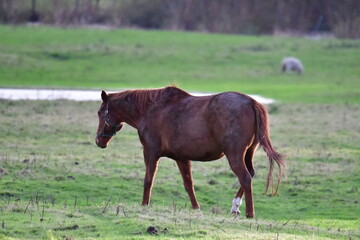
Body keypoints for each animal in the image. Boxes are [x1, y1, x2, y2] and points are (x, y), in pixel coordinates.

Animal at [95, 86, 284, 219]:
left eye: (99, 112)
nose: (98, 141)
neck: (150, 110)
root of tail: (251, 102)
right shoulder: (181, 158)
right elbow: (188, 184)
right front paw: (196, 208)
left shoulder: (150, 153)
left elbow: (148, 180)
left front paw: (144, 205)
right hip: (248, 154)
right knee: (250, 174)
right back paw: (235, 206)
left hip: (235, 155)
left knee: (245, 178)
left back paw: (249, 213)